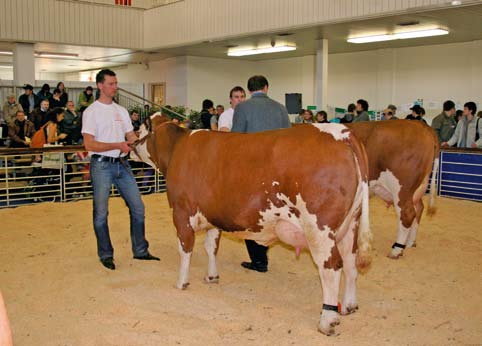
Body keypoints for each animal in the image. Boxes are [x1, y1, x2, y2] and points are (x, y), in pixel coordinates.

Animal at [132, 120, 372, 336]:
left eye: (141, 129)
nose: (129, 142)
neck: (178, 147)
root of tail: (342, 132)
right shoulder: (213, 216)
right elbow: (211, 247)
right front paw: (211, 276)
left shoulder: (181, 212)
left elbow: (185, 248)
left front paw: (181, 282)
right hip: (351, 225)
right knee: (350, 263)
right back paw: (349, 305)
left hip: (319, 229)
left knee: (331, 267)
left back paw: (327, 320)